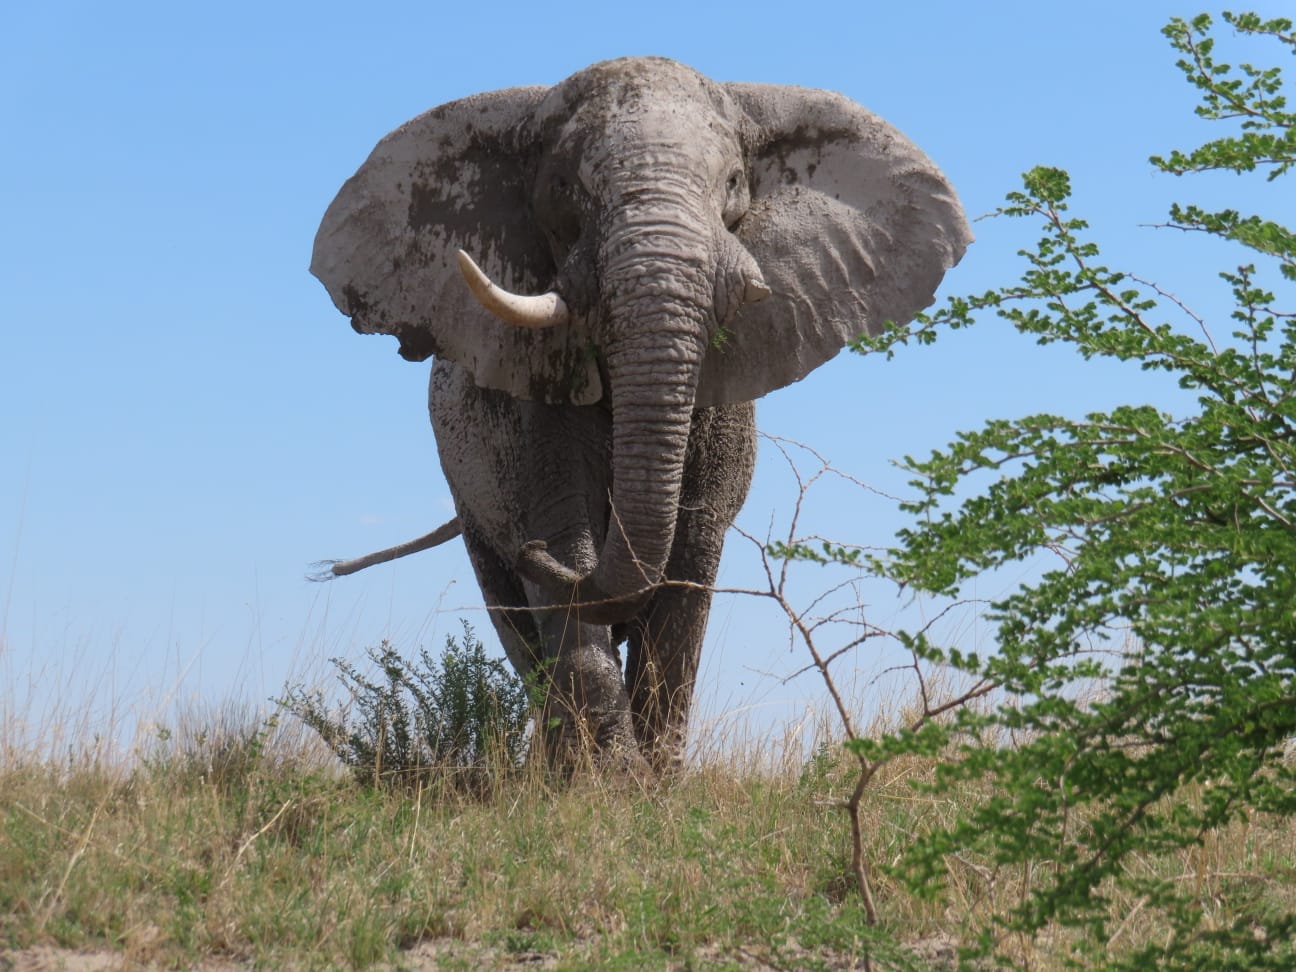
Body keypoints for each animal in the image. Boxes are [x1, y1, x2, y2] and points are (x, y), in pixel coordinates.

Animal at [311, 57, 970, 771]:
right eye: (563, 187)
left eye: (733, 182)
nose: (533, 552)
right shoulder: (527, 400)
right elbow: (564, 555)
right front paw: (611, 784)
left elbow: (687, 571)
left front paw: (655, 782)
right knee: (513, 617)